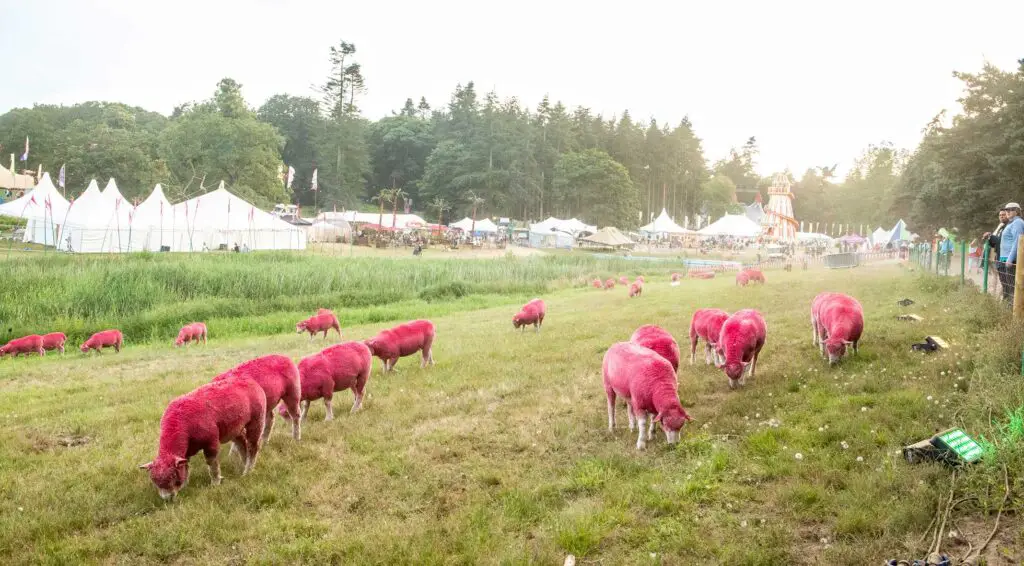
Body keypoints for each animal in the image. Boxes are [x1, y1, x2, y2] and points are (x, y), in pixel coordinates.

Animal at [138, 374, 266, 499]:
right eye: (154, 482)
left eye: (173, 477)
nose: (167, 498)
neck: (178, 424)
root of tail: (250, 380)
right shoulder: (186, 452)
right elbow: (185, 466)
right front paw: (185, 485)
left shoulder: (211, 442)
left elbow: (212, 464)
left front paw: (215, 483)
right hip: (235, 427)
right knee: (242, 443)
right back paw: (245, 463)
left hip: (256, 420)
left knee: (253, 447)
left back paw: (248, 471)